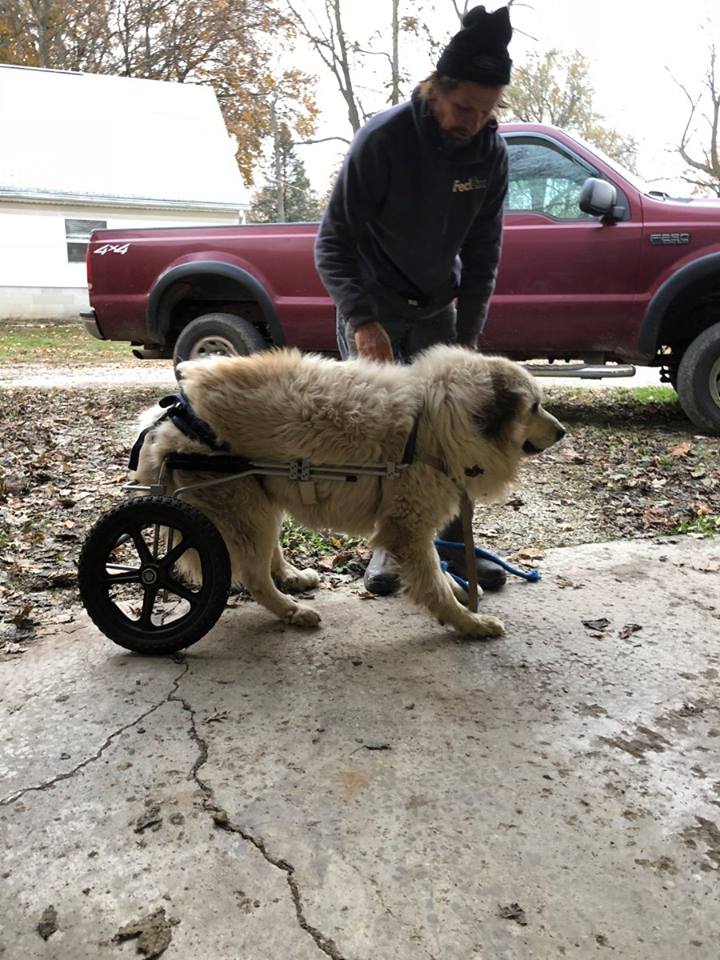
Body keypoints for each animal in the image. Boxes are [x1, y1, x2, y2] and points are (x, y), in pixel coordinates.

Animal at [132, 344, 564, 636]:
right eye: (535, 407)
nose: (562, 432)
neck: (442, 419)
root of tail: (170, 417)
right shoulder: (409, 528)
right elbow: (433, 584)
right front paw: (468, 622)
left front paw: (461, 596)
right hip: (241, 506)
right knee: (253, 577)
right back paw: (292, 611)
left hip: (262, 497)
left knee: (268, 555)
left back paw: (292, 578)